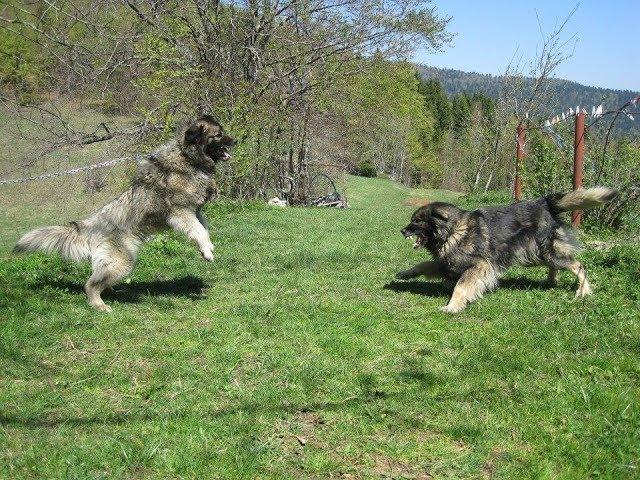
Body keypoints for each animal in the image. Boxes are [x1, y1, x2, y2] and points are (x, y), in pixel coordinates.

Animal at [13, 115, 235, 314]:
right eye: (218, 135)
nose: (235, 141)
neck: (187, 158)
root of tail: (90, 225)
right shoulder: (181, 212)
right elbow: (198, 231)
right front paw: (207, 251)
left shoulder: (195, 211)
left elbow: (203, 229)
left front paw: (207, 248)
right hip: (122, 262)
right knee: (90, 284)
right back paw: (100, 305)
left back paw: (111, 292)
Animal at [398, 188, 616, 316]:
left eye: (417, 221)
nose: (402, 231)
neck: (453, 231)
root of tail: (545, 203)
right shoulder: (448, 263)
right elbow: (423, 265)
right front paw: (405, 273)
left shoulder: (479, 265)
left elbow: (460, 287)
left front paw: (452, 306)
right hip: (536, 254)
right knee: (559, 265)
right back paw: (551, 280)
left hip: (544, 252)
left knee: (577, 264)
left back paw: (583, 291)